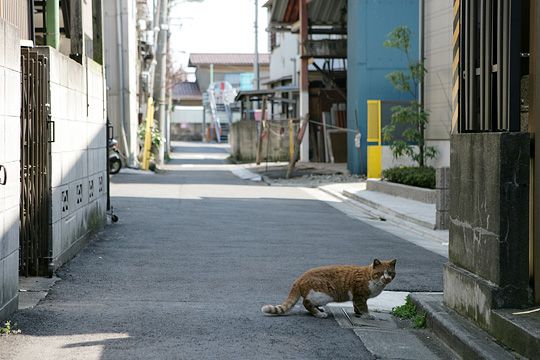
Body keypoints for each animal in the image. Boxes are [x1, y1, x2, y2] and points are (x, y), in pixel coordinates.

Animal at [262, 258, 396, 318]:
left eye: (390, 273)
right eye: (380, 273)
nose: (386, 278)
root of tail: (299, 278)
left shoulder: (357, 298)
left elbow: (357, 306)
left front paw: (358, 313)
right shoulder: (359, 295)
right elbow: (363, 307)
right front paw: (368, 315)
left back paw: (319, 310)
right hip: (322, 294)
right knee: (306, 303)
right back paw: (318, 314)